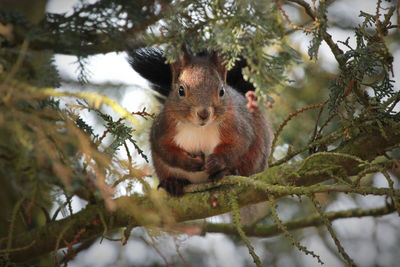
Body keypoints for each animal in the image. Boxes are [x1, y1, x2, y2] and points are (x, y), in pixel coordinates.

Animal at [128, 47, 272, 196]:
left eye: (222, 91)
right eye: (180, 90)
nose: (203, 114)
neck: (199, 128)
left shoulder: (237, 126)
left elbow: (239, 144)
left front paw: (215, 161)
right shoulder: (163, 127)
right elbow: (165, 149)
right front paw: (189, 163)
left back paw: (226, 172)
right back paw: (173, 183)